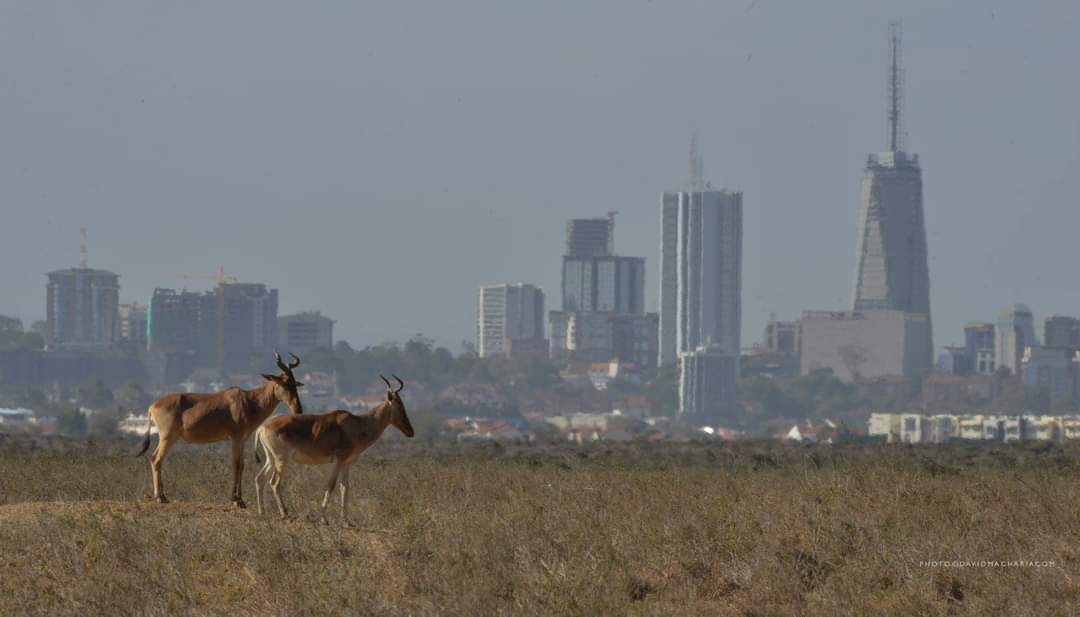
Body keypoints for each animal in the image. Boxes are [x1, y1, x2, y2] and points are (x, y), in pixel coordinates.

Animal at [136, 352, 304, 507]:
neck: (248, 401)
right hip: (167, 436)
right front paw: (236, 500)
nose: (298, 410)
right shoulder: (235, 438)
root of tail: (152, 406)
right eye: (284, 383)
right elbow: (236, 464)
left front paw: (240, 499)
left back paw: (162, 496)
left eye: (294, 383)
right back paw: (160, 497)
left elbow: (242, 465)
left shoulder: (242, 440)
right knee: (156, 459)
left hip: (171, 437)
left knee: (156, 459)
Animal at [252, 373, 412, 522]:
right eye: (400, 405)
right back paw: (285, 514)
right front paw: (324, 519)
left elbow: (345, 487)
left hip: (270, 459)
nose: (410, 431)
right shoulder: (338, 460)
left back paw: (262, 512)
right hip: (281, 460)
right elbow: (331, 485)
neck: (357, 424)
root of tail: (262, 427)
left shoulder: (347, 463)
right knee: (274, 483)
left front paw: (346, 520)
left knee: (260, 478)